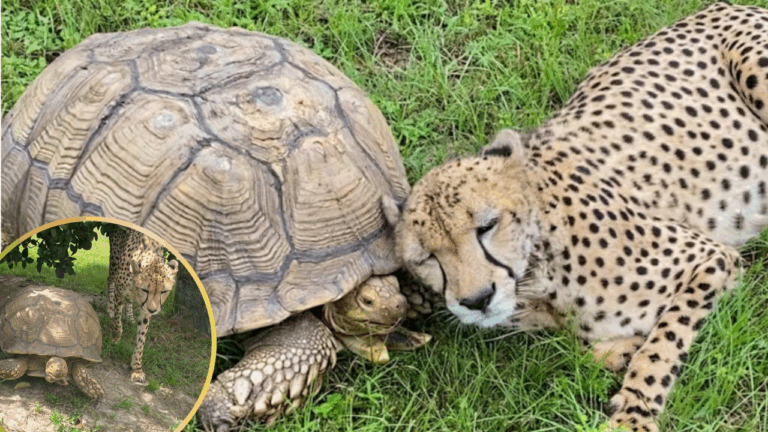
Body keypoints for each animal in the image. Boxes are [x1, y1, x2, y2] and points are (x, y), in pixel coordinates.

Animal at [107, 228, 179, 382]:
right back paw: (109, 309)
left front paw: (137, 368)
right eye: (145, 290)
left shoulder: (146, 310)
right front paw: (115, 339)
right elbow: (117, 322)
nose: (153, 310)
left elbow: (141, 339)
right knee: (110, 280)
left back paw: (129, 317)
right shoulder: (120, 293)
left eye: (164, 291)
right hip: (114, 262)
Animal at [383, 2, 768, 431]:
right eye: (427, 258)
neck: (538, 281)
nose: (477, 299)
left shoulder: (710, 258)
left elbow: (662, 345)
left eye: (487, 226)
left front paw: (633, 412)